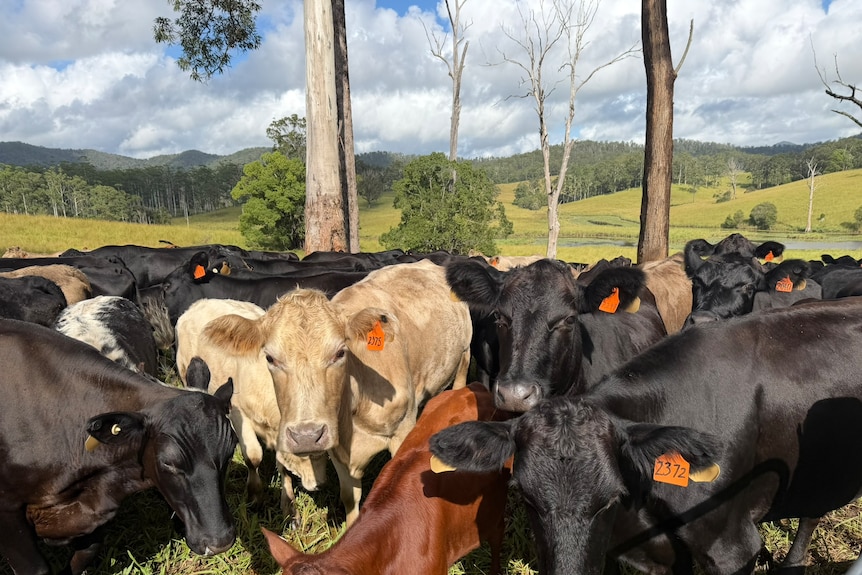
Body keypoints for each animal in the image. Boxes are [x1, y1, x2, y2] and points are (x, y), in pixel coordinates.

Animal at [175, 298, 327, 519]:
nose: (318, 484)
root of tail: (199, 303)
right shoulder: (239, 414)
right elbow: (254, 457)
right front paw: (255, 496)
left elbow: (284, 468)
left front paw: (289, 507)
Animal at [203, 259, 473, 524]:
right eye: (270, 357)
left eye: (340, 353)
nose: (306, 436)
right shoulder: (336, 447)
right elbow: (349, 497)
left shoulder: (403, 430)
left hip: (465, 354)